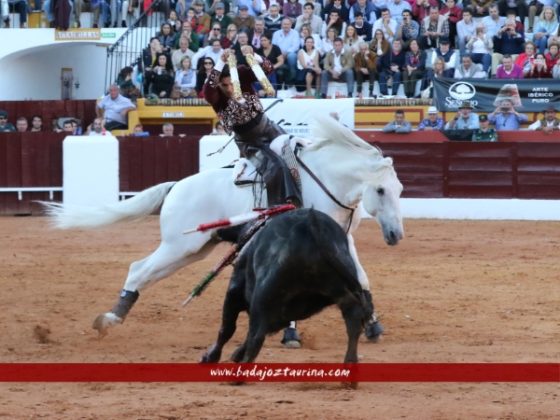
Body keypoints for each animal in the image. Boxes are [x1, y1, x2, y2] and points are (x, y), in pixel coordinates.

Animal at [43, 115, 402, 338]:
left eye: (399, 190)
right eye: (380, 190)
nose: (396, 235)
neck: (325, 178)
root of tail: (175, 186)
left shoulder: (343, 238)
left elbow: (361, 278)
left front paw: (373, 325)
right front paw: (290, 333)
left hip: (195, 249)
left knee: (144, 272)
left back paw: (113, 316)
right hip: (180, 245)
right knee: (138, 269)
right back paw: (110, 319)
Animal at [202, 208, 376, 366]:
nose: (218, 231)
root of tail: (316, 234)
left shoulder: (234, 292)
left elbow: (227, 329)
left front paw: (210, 357)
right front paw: (236, 353)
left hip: (263, 297)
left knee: (256, 337)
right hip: (337, 289)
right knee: (353, 317)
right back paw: (350, 364)